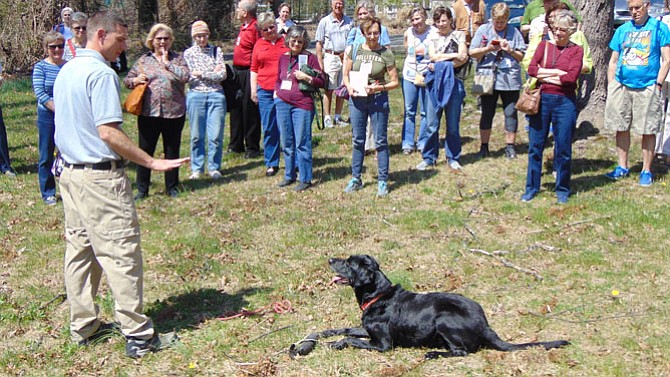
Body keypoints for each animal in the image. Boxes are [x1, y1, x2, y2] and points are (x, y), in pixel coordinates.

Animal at [292, 254, 568, 356]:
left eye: (348, 263)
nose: (329, 258)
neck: (378, 295)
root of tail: (486, 326)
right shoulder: (366, 328)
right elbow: (347, 329)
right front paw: (324, 334)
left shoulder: (383, 345)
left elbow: (351, 338)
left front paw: (336, 343)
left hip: (444, 319)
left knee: (461, 352)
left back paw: (434, 353)